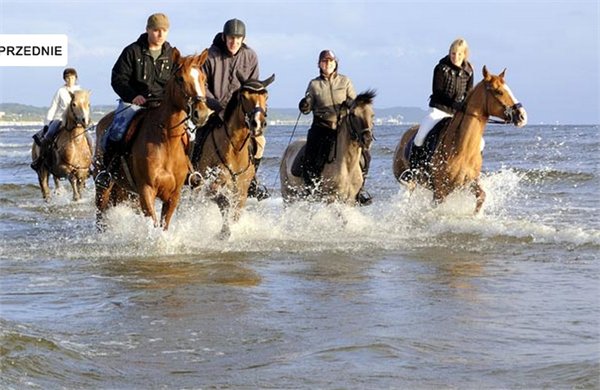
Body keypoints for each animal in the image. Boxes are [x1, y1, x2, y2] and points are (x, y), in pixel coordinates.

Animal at [95, 50, 214, 230]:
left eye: (204, 79)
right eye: (180, 79)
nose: (201, 113)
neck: (166, 142)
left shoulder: (173, 196)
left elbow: (164, 226)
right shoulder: (146, 191)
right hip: (103, 189)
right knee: (100, 217)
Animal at [189, 72, 276, 238]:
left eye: (266, 96)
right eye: (244, 96)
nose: (258, 124)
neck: (235, 149)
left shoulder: (241, 191)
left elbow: (236, 212)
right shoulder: (212, 183)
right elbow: (223, 202)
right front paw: (224, 231)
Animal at [392, 67, 528, 213]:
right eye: (499, 91)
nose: (522, 116)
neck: (462, 149)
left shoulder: (470, 183)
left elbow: (482, 196)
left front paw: (476, 215)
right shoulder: (439, 191)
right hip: (408, 180)